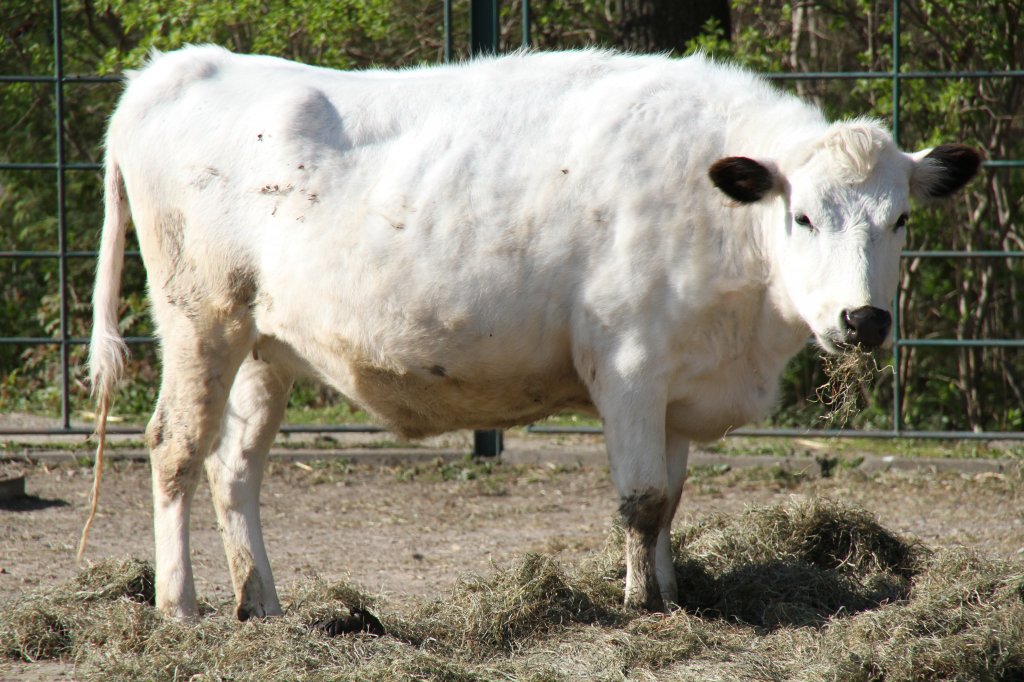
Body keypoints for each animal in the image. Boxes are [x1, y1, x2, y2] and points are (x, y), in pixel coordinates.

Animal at [92, 45, 978, 618]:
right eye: (801, 216)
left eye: (900, 219)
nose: (864, 318)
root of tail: (180, 65)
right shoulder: (628, 365)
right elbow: (640, 500)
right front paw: (640, 606)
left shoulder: (678, 385)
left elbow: (672, 501)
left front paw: (673, 593)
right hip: (200, 319)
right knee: (174, 447)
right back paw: (181, 604)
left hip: (263, 350)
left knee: (233, 469)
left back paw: (263, 603)